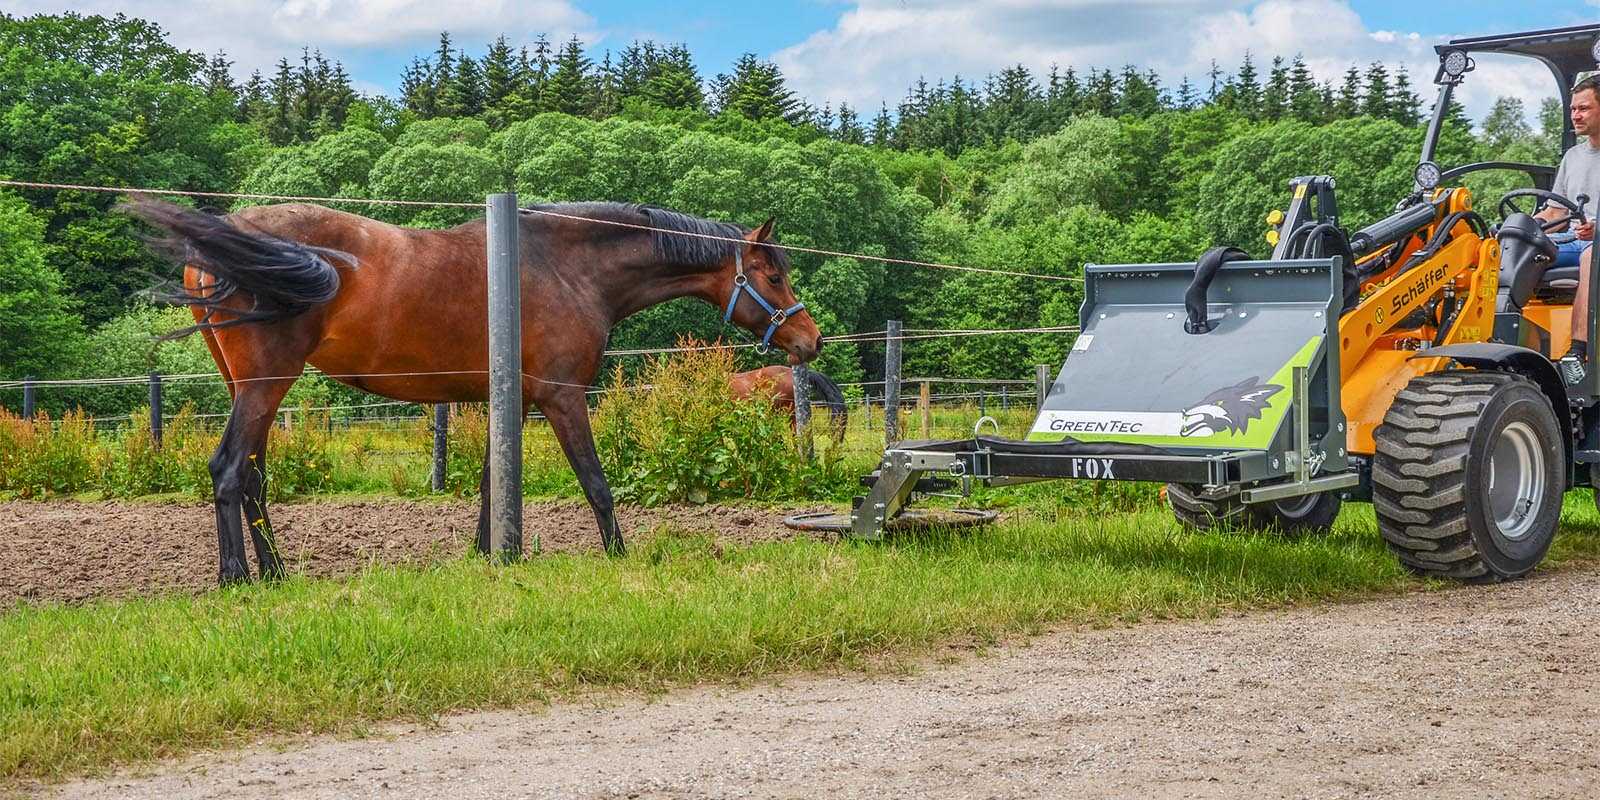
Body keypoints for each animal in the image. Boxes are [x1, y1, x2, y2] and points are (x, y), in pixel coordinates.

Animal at [126, 196, 819, 585]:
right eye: (773, 275)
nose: (809, 340)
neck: (564, 267)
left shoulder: (502, 401)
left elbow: (492, 484)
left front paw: (491, 558)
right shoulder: (561, 397)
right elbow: (595, 483)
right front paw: (620, 557)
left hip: (252, 388)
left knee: (252, 478)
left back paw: (274, 574)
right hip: (265, 385)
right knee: (228, 470)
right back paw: (237, 579)